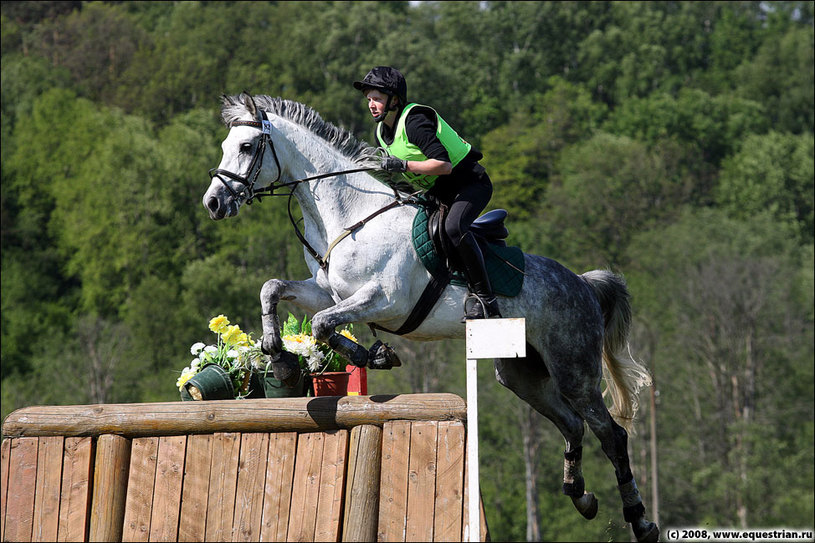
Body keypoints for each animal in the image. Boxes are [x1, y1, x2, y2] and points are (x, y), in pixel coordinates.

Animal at [201, 93, 660, 543]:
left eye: (247, 146)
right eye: (226, 146)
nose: (213, 203)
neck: (350, 216)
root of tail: (583, 283)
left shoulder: (384, 300)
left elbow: (322, 325)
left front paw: (369, 355)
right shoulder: (326, 292)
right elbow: (274, 288)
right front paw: (277, 353)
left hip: (574, 370)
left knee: (611, 434)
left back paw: (640, 520)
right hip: (521, 373)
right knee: (572, 425)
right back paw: (581, 496)